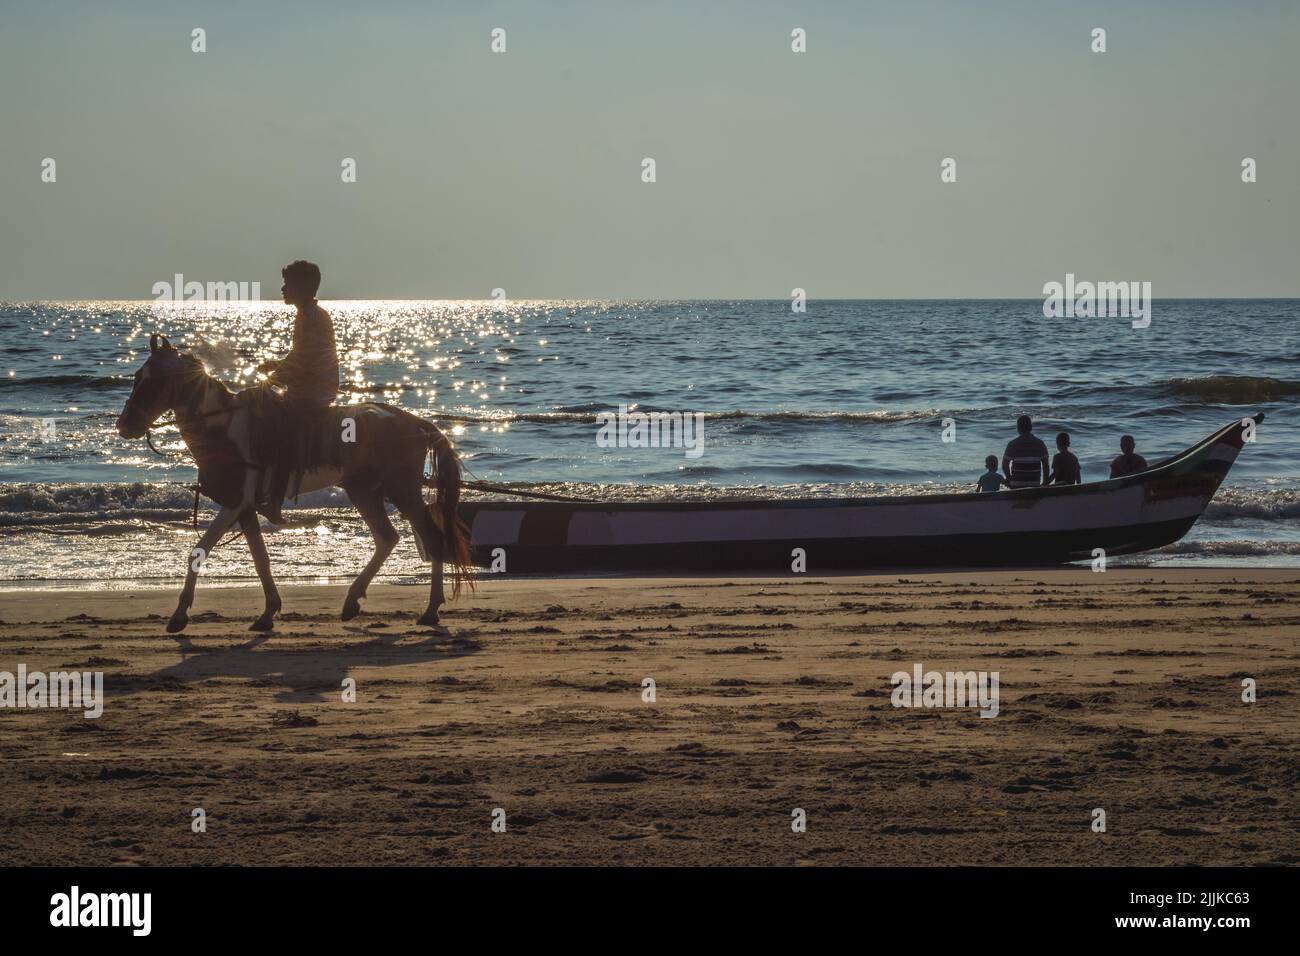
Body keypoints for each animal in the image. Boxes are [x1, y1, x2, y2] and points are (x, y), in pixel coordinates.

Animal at [115, 335, 473, 634]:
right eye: (137, 377)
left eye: (154, 381)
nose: (124, 425)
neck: (222, 428)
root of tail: (417, 422)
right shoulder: (245, 508)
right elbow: (260, 559)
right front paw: (268, 612)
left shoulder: (234, 503)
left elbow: (200, 550)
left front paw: (179, 615)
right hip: (362, 489)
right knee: (387, 538)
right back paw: (353, 601)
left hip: (402, 490)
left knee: (431, 538)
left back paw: (430, 610)